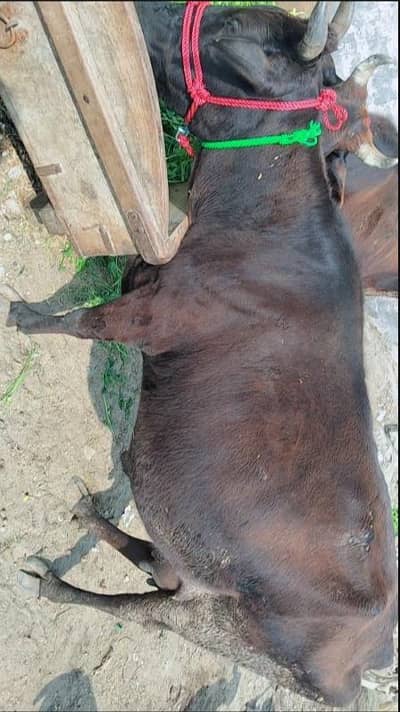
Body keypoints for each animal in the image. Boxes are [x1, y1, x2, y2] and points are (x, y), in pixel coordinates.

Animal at [2, 2, 398, 707]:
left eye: (233, 38)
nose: (145, 12)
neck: (251, 223)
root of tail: (367, 661)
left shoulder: (152, 317)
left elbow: (81, 322)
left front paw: (24, 318)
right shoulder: (143, 276)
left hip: (221, 623)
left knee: (149, 611)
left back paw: (52, 583)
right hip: (196, 571)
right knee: (161, 564)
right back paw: (92, 517)